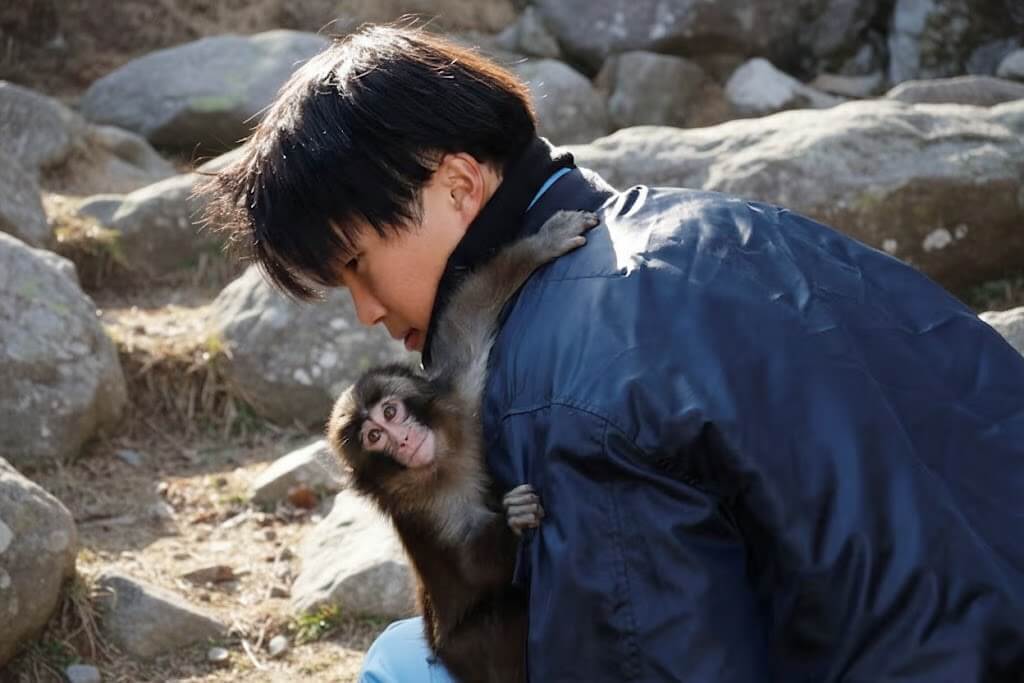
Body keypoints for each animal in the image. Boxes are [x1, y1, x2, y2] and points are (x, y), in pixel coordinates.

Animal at [327, 210, 599, 683]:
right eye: (374, 437)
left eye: (390, 412)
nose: (403, 440)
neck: (443, 462)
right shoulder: (425, 507)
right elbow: (473, 566)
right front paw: (514, 520)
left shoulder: (459, 401)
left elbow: (469, 315)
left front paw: (540, 246)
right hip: (465, 650)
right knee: (502, 617)